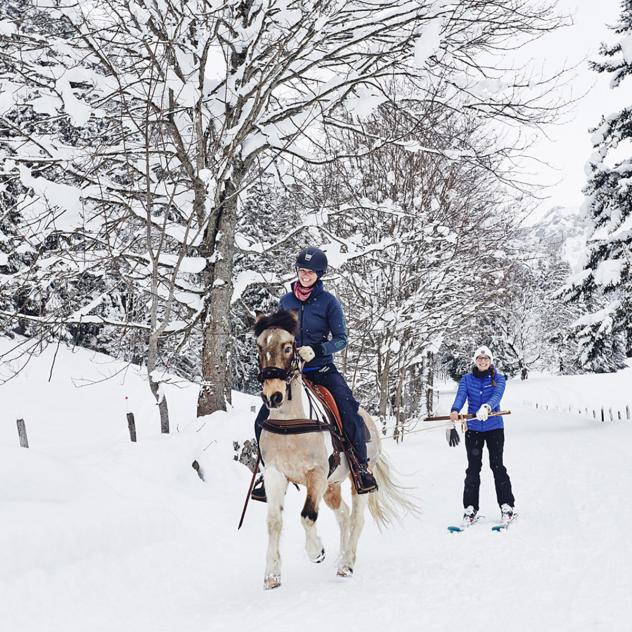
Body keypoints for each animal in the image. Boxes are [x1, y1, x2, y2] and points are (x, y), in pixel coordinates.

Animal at [254, 308, 412, 592]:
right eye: (259, 347)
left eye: (288, 346)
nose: (273, 396)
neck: (290, 422)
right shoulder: (274, 474)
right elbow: (273, 522)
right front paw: (272, 575)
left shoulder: (315, 474)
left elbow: (307, 516)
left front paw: (316, 551)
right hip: (331, 488)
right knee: (344, 516)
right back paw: (341, 556)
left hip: (356, 480)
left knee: (357, 518)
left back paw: (346, 564)